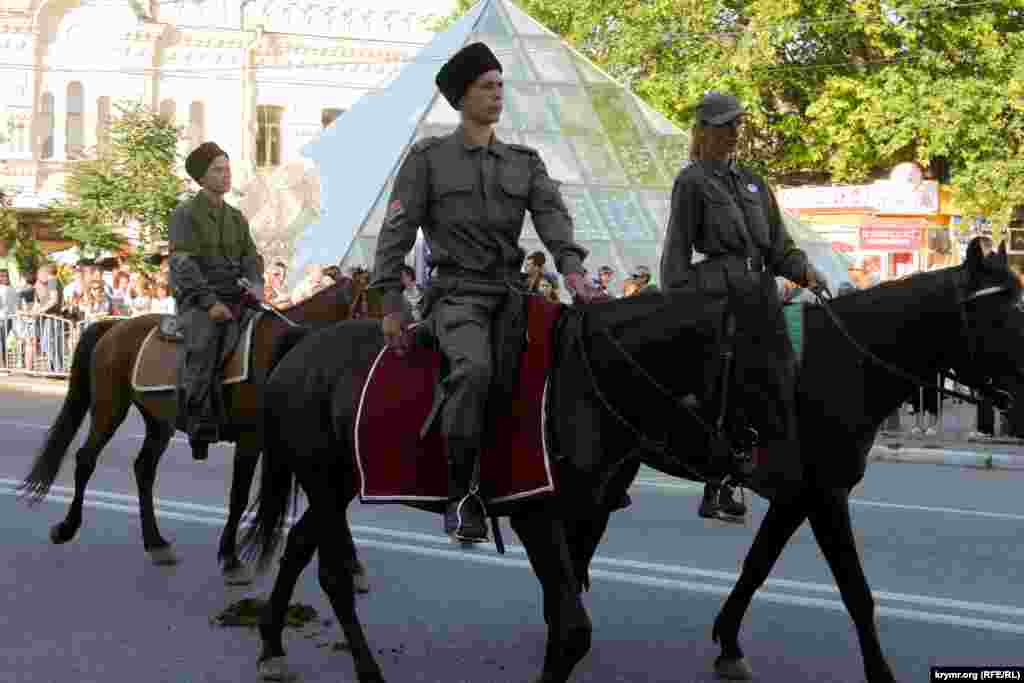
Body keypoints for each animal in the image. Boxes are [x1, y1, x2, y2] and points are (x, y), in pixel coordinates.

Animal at [18, 280, 364, 585]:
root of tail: (114, 327)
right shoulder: (252, 440)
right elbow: (239, 497)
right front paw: (230, 559)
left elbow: (328, 502)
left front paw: (352, 565)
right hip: (109, 408)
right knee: (85, 459)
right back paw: (66, 527)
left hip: (159, 422)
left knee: (143, 469)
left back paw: (156, 543)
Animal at [237, 241, 1024, 683]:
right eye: (1002, 310)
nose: (1021, 393)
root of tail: (300, 342)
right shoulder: (820, 494)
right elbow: (855, 591)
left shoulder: (799, 495)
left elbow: (757, 567)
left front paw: (728, 641)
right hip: (330, 483)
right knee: (326, 566)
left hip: (336, 485)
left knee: (301, 548)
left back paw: (272, 638)